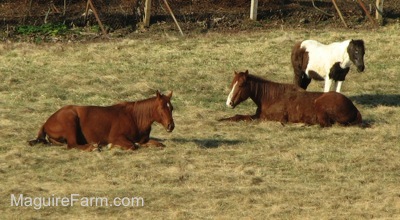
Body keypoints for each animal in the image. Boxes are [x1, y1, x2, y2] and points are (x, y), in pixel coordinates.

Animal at [28, 91, 176, 151]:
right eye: (161, 108)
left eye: (171, 107)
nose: (171, 126)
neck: (135, 118)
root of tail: (46, 122)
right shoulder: (116, 137)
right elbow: (132, 146)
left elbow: (159, 144)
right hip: (71, 121)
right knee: (72, 145)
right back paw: (93, 147)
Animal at [219, 70, 362, 127]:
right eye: (232, 84)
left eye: (241, 85)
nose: (229, 103)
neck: (272, 97)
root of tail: (354, 108)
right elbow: (238, 116)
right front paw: (222, 119)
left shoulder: (267, 117)